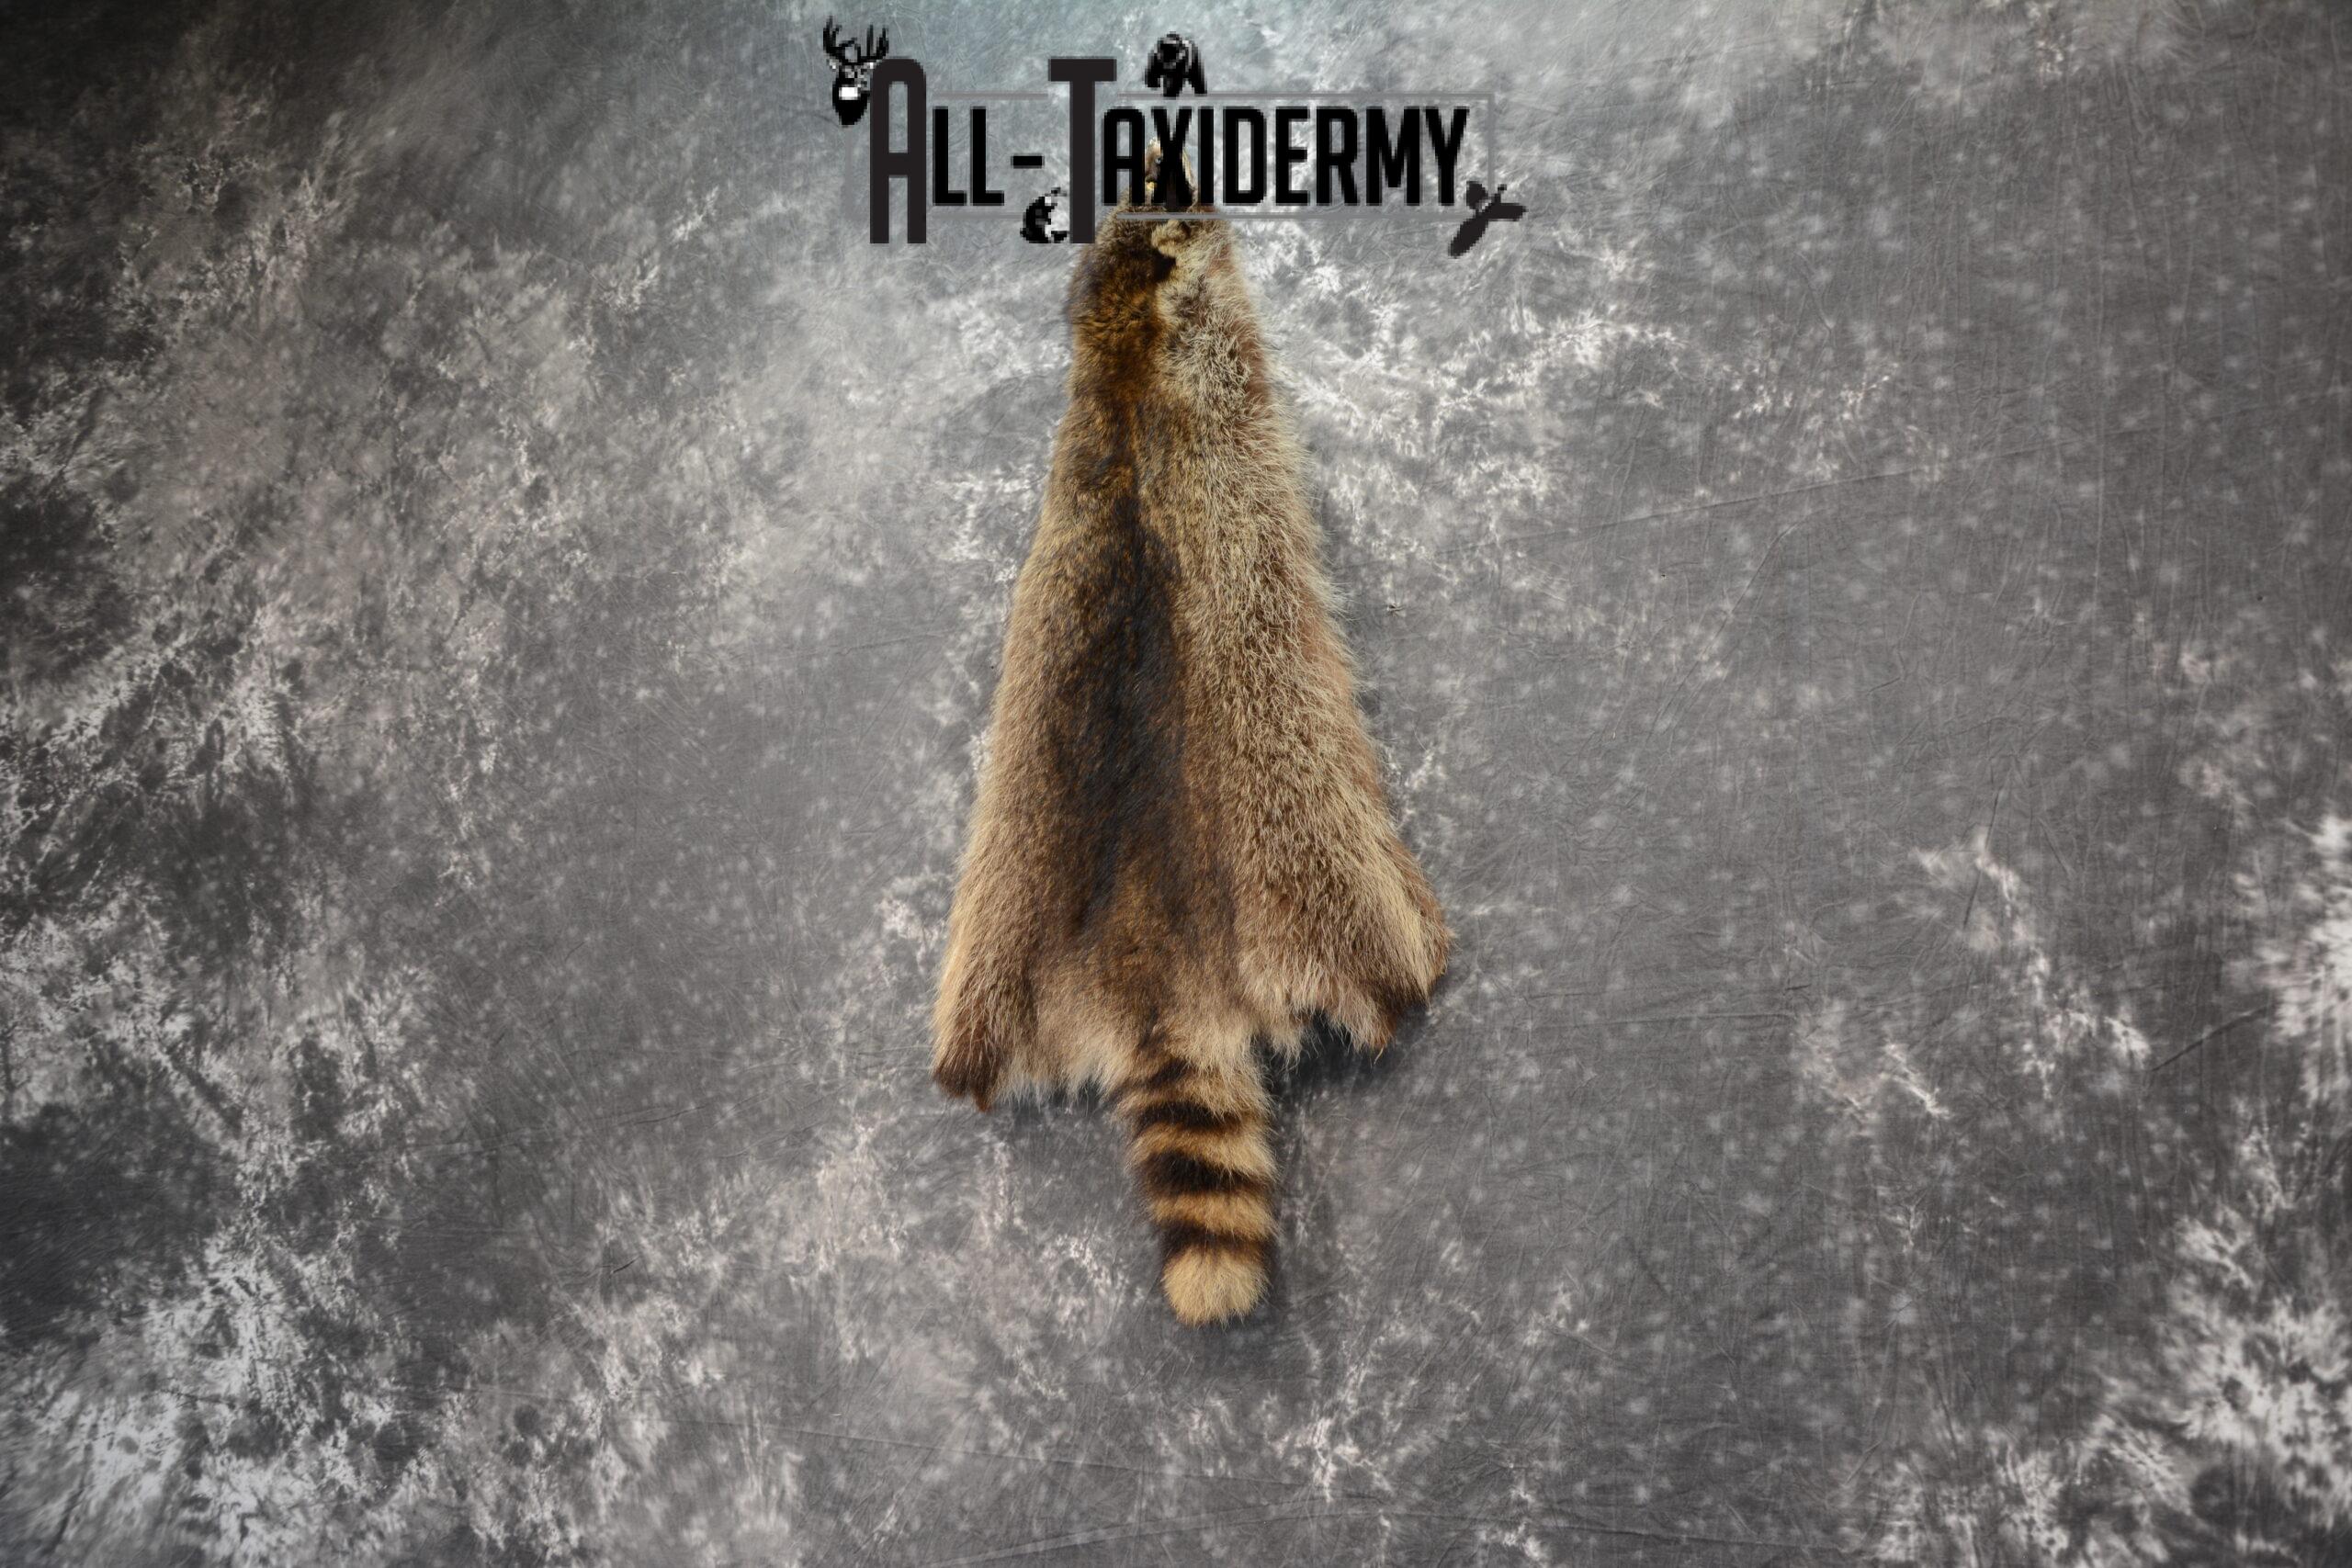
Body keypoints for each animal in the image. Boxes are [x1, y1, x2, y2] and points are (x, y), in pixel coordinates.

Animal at [932, 165, 1447, 1326]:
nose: (1214, 196)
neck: (1125, 349)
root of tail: (1152, 974)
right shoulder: (1232, 395)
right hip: (1301, 839)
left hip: (1001, 921)